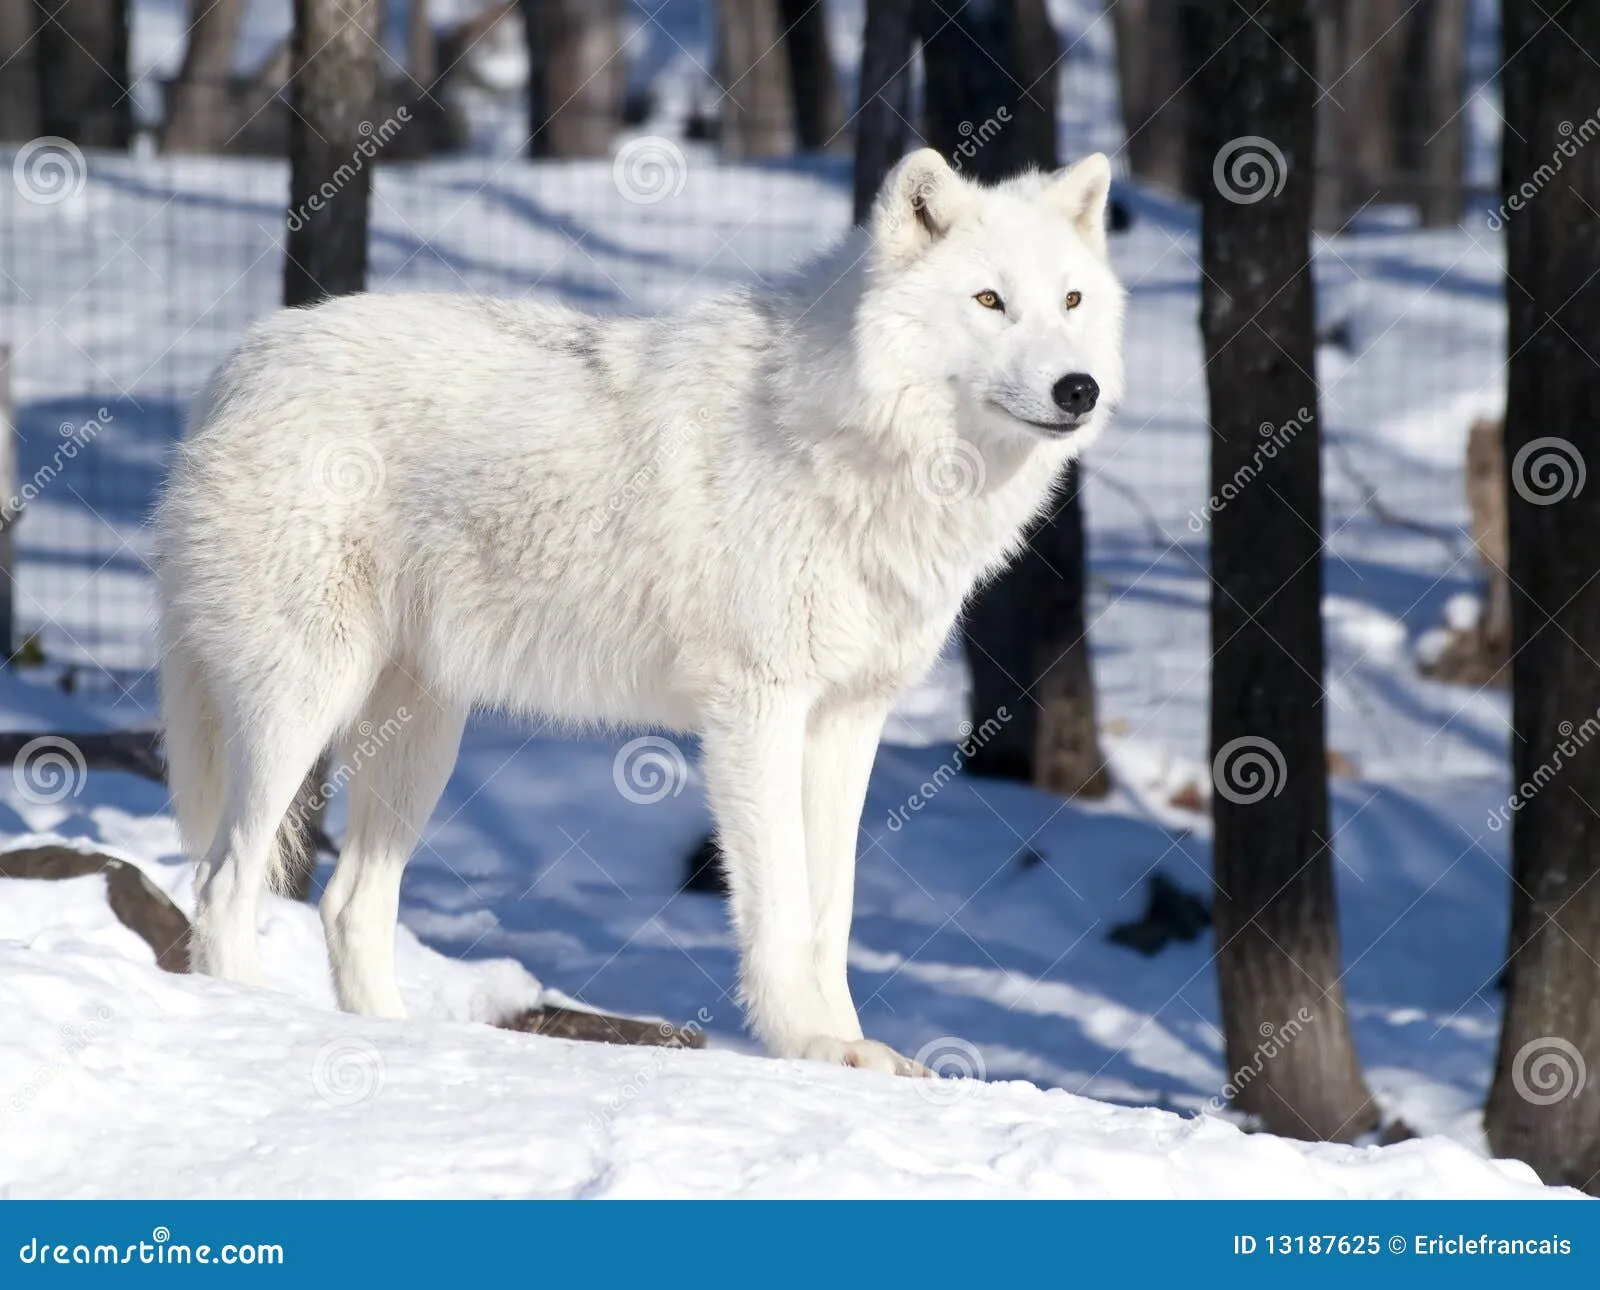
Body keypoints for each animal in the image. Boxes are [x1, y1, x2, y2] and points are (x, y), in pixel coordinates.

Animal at [152, 148, 1126, 1081]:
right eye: (990, 300)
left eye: (1071, 300)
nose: (1078, 388)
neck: (858, 444)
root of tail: (236, 365)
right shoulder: (757, 712)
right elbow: (781, 909)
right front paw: (806, 1045)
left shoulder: (848, 720)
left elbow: (832, 915)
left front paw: (852, 1050)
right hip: (301, 706)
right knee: (224, 883)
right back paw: (257, 1022)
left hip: (421, 737)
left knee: (349, 905)